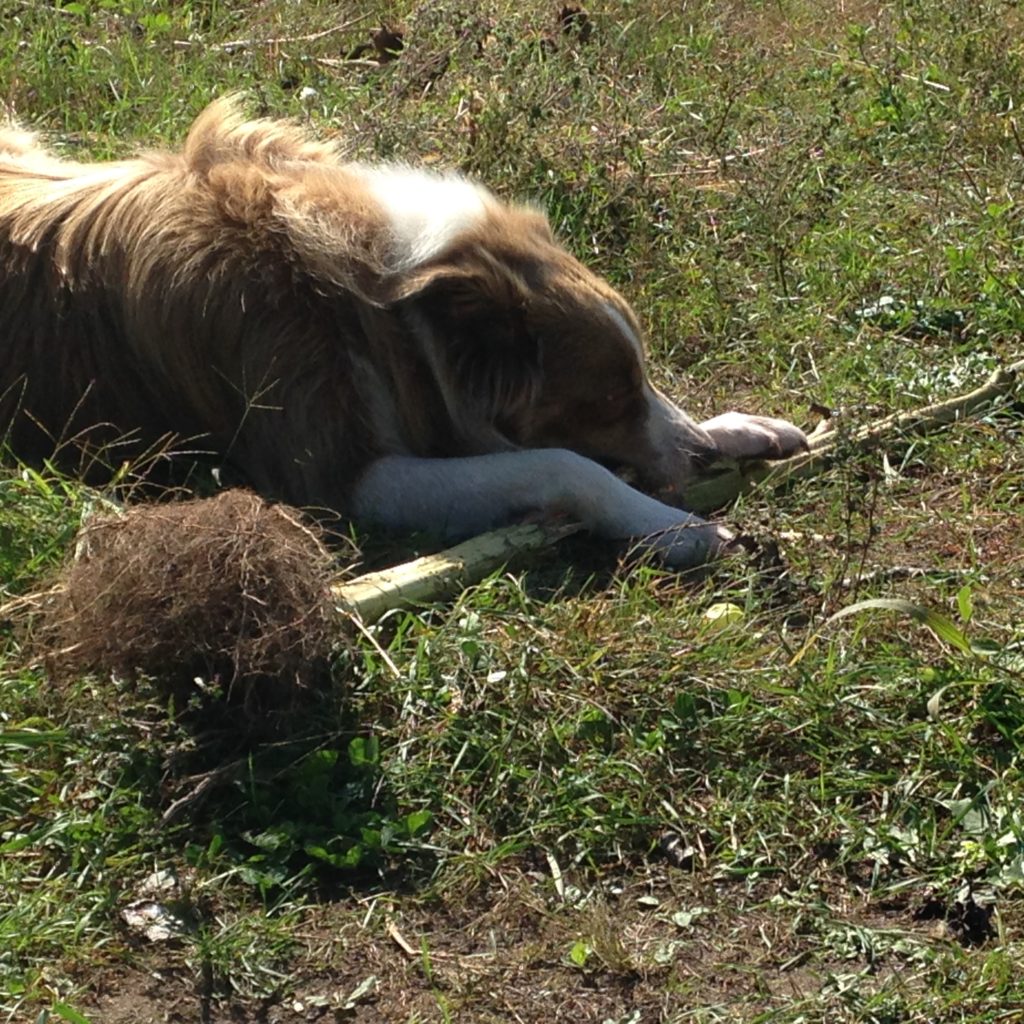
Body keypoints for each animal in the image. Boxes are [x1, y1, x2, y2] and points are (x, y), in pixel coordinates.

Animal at [2, 96, 806, 569]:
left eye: (638, 378)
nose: (702, 459)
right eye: (604, 403)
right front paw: (673, 526)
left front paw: (740, 428)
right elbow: (563, 464)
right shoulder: (335, 475)